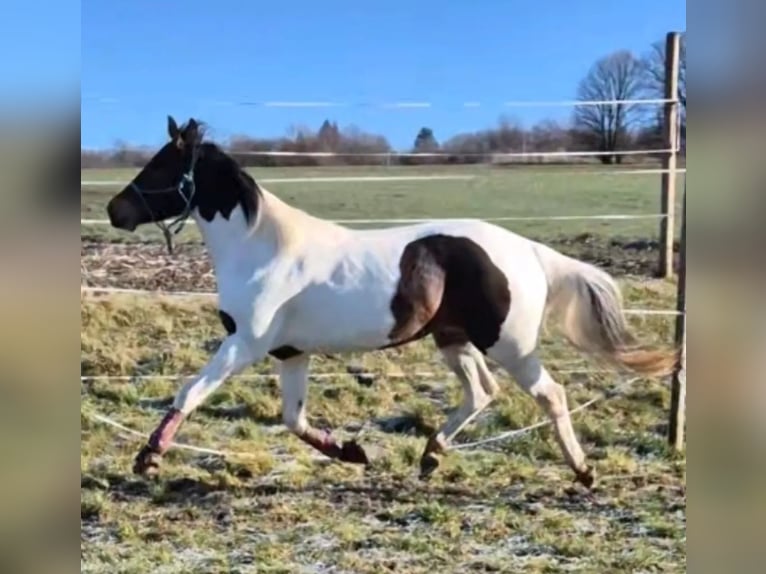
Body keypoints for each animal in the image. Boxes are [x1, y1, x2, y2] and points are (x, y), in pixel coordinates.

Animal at [105, 116, 678, 488]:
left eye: (161, 165)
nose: (115, 210)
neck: (261, 248)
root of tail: (531, 252)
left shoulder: (244, 343)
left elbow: (190, 391)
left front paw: (148, 460)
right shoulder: (291, 353)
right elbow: (293, 420)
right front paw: (353, 452)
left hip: (509, 345)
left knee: (550, 394)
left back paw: (582, 471)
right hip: (453, 339)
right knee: (481, 392)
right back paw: (430, 457)